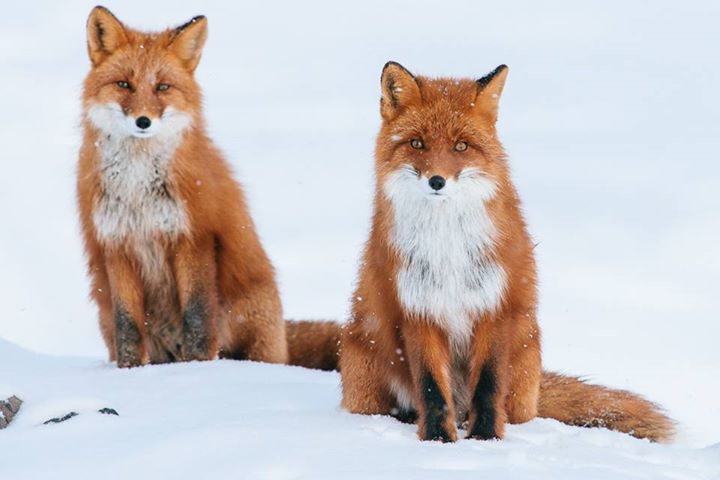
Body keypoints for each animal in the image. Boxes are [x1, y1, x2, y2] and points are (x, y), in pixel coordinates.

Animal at [76, 6, 287, 367]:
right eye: (124, 84)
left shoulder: (193, 237)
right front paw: (130, 370)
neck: (139, 188)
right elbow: (127, 324)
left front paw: (197, 369)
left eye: (162, 86)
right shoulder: (117, 244)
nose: (143, 121)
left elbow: (198, 317)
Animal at [321, 61, 675, 443]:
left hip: (524, 367)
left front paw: (485, 439)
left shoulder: (495, 305)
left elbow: (488, 385)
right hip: (365, 371)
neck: (447, 247)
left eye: (461, 146)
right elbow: (431, 387)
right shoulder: (418, 308)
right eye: (417, 143)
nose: (436, 181)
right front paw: (438, 440)